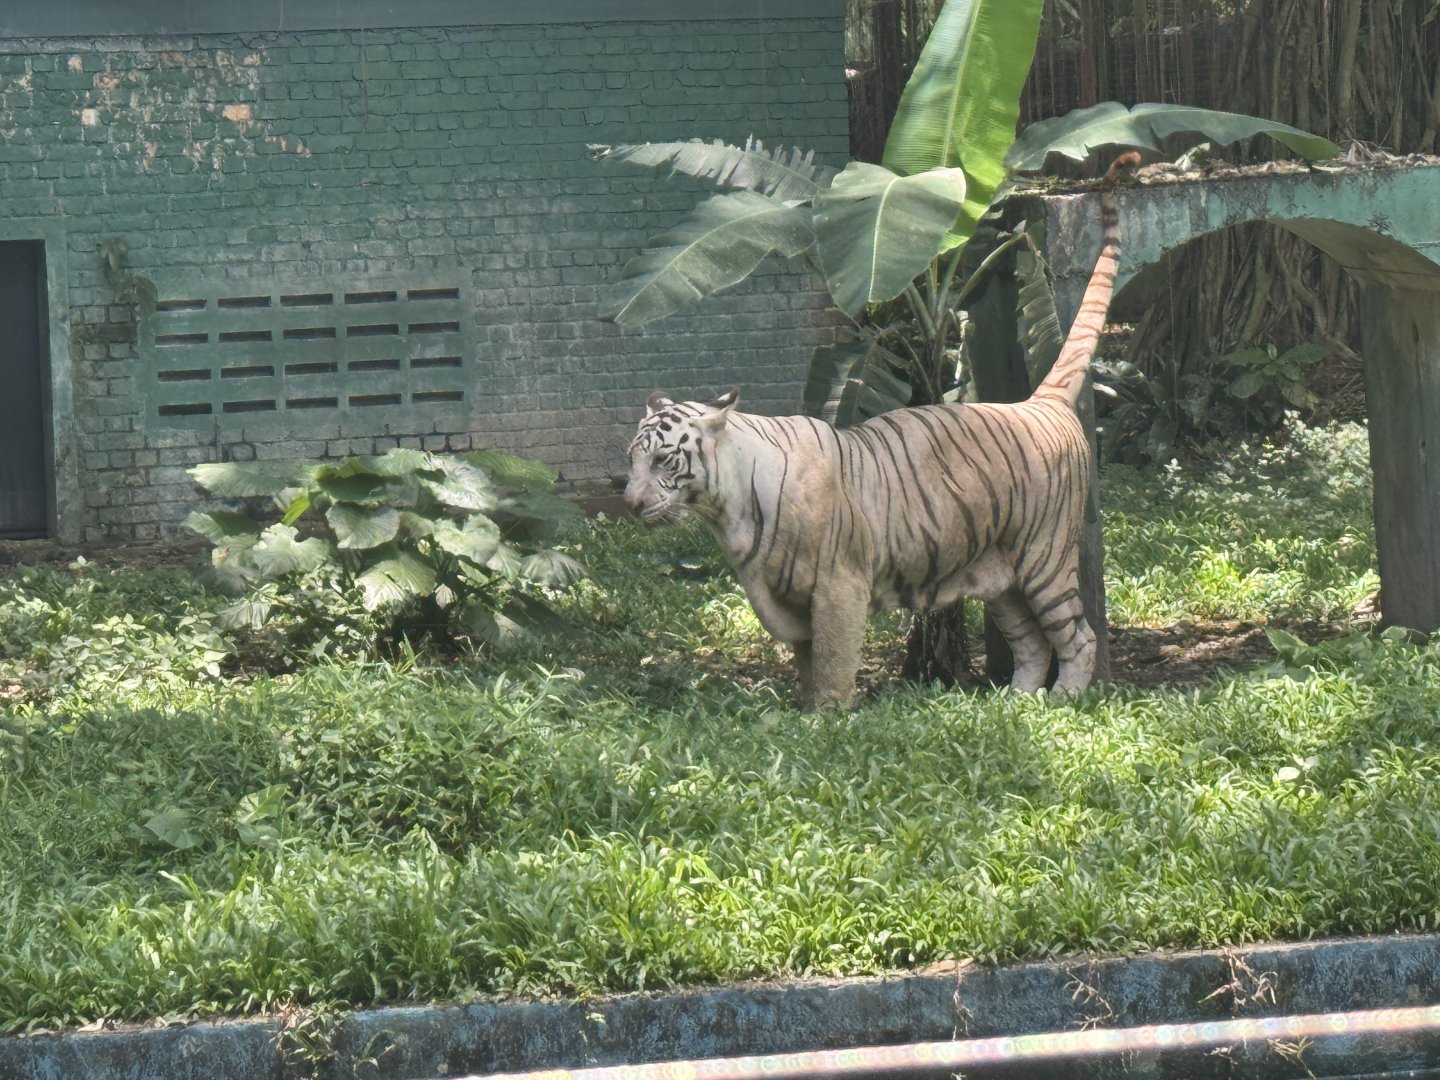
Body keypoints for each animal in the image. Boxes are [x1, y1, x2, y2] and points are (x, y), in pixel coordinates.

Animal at [624, 153, 1138, 709]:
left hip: (1044, 558)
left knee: (1077, 635)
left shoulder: (837, 584)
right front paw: (805, 710)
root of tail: (1040, 403)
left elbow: (831, 661)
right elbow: (807, 661)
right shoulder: (786, 596)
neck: (725, 507)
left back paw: (1064, 697)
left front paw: (826, 717)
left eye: (663, 460)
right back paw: (1017, 700)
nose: (629, 503)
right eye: (630, 461)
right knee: (1031, 643)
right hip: (1000, 577)